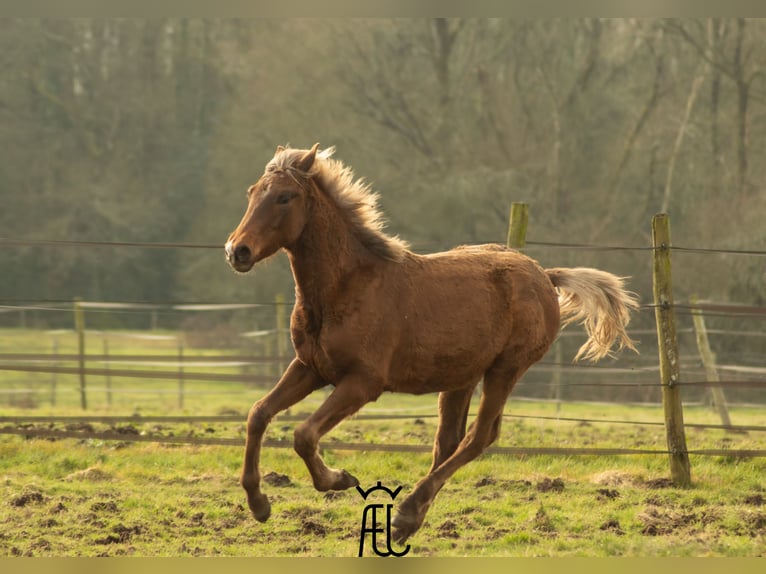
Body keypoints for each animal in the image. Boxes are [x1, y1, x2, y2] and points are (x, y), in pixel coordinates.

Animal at [224, 144, 640, 544]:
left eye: (285, 197)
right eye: (252, 192)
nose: (236, 251)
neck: (346, 287)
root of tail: (544, 275)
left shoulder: (363, 382)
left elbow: (304, 434)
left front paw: (339, 479)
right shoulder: (310, 367)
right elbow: (259, 413)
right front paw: (258, 503)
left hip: (505, 370)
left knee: (479, 437)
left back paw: (407, 512)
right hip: (461, 378)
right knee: (448, 442)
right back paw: (408, 522)